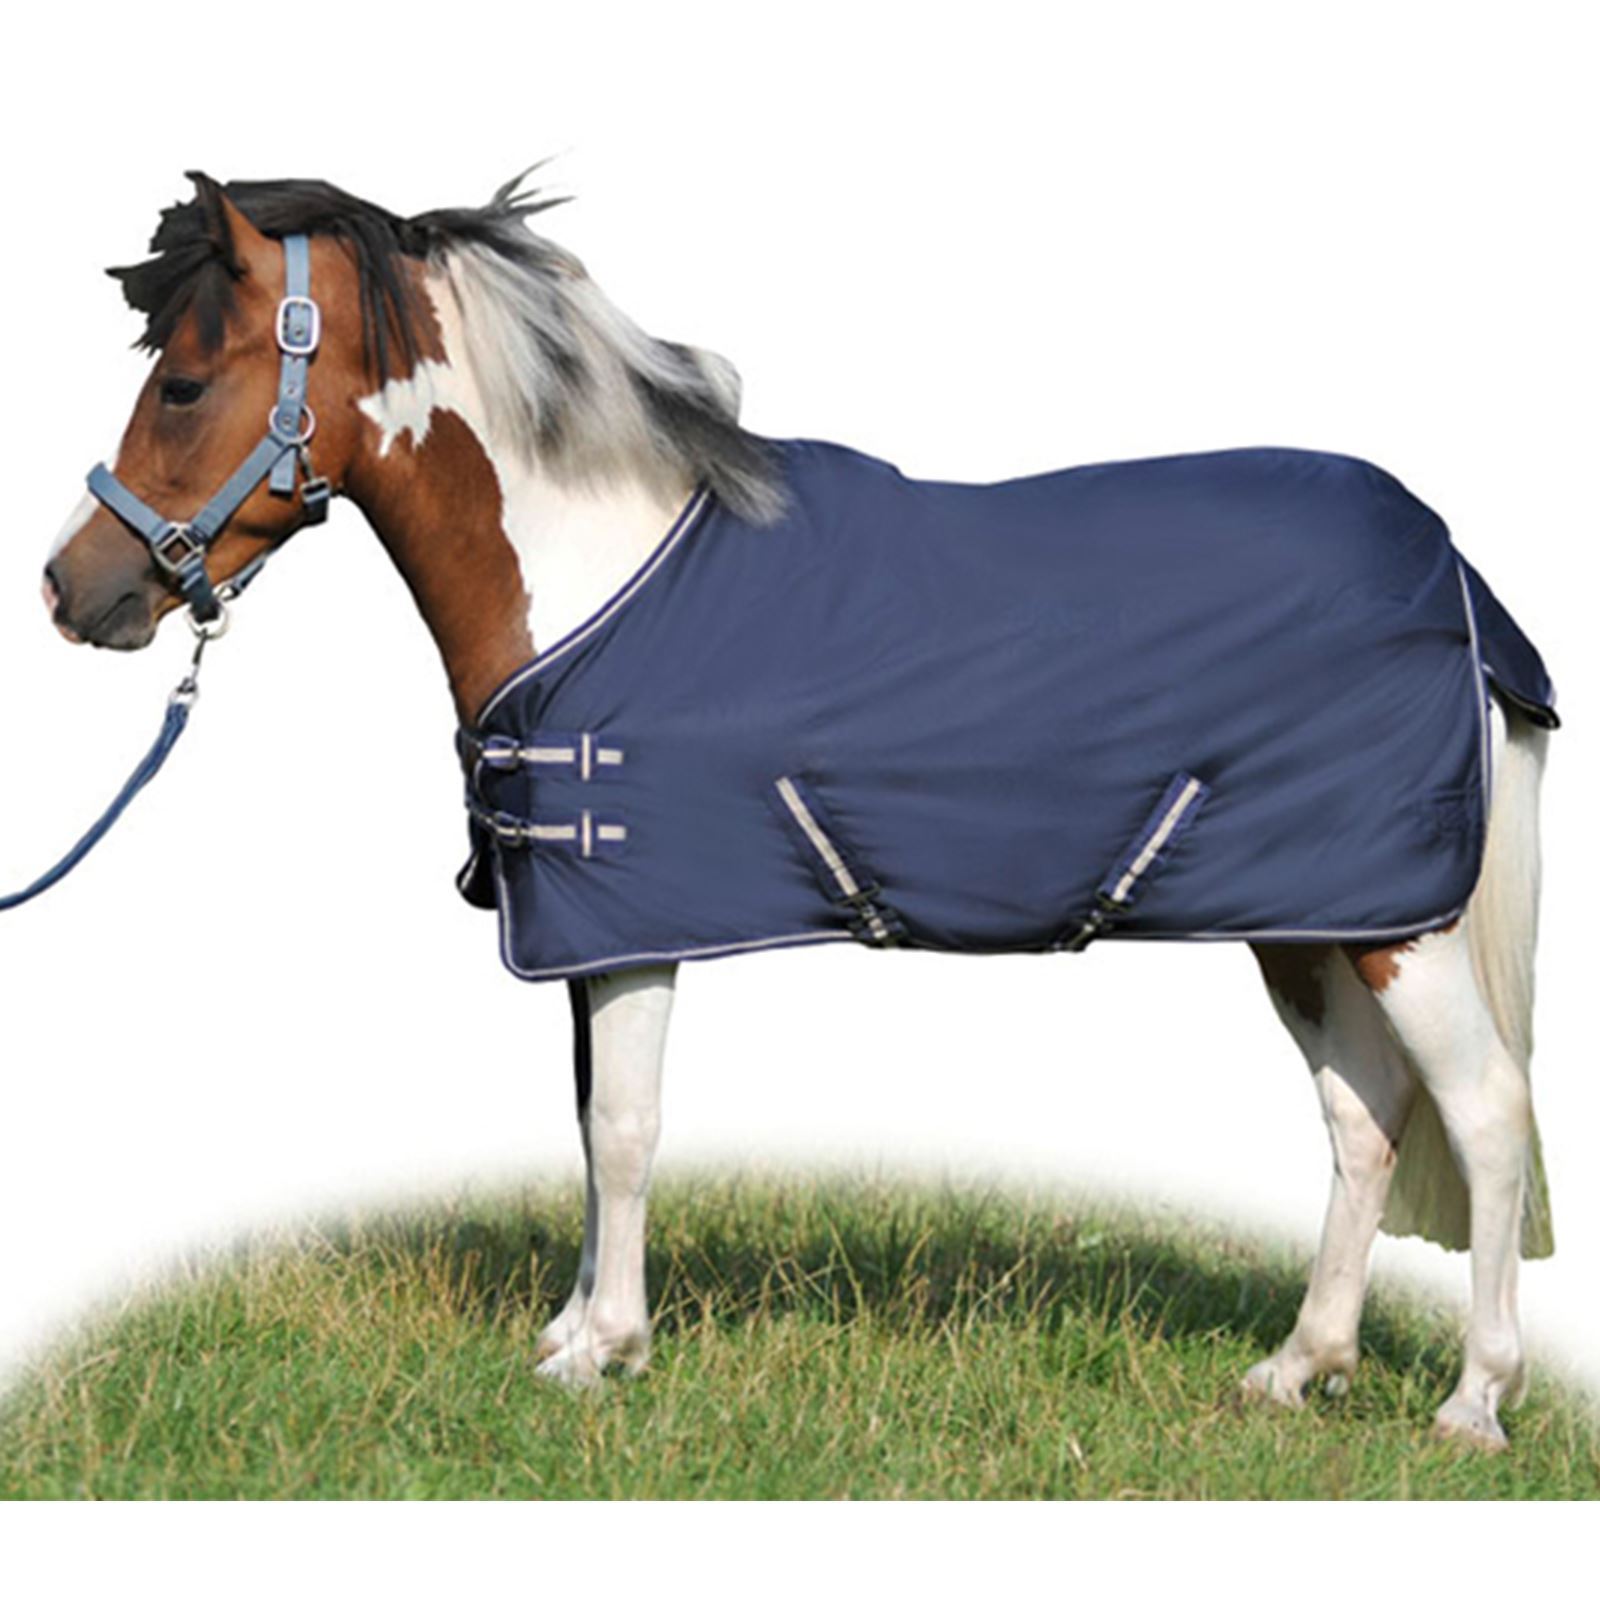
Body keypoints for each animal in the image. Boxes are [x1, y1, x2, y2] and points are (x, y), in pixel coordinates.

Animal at [41, 170, 1556, 1451]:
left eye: (184, 384)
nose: (72, 588)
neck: (596, 565)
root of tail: (1451, 572)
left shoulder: (634, 922)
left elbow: (622, 1130)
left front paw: (601, 1352)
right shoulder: (585, 929)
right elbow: (586, 1124)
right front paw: (575, 1329)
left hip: (1399, 930)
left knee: (1484, 1112)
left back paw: (1473, 1401)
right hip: (1311, 921)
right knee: (1364, 1118)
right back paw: (1298, 1369)